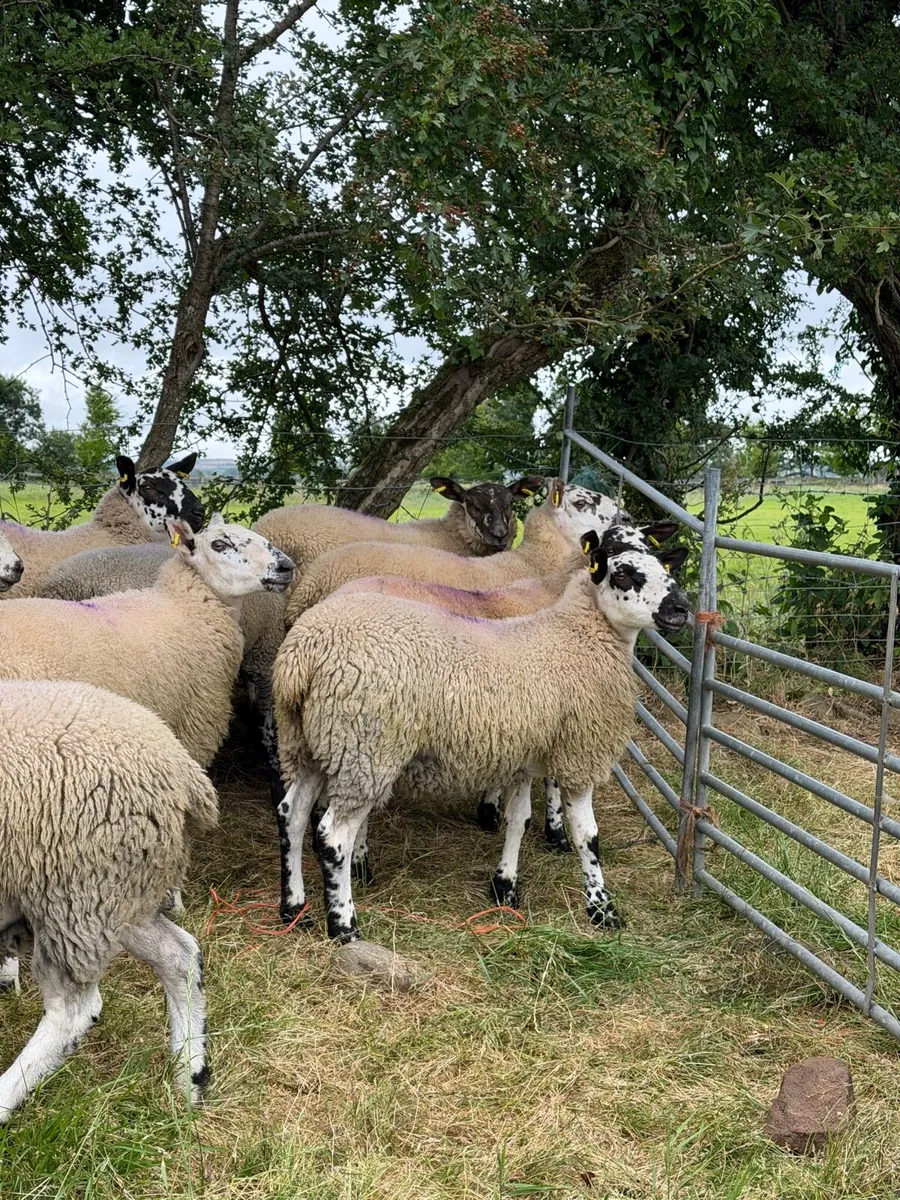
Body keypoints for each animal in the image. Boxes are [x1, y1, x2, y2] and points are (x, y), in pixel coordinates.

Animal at [0, 678, 217, 1121]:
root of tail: (182, 766)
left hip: (75, 895)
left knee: (74, 1010)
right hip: (118, 896)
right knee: (181, 955)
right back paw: (189, 1079)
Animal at [272, 522, 690, 940]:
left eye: (666, 570)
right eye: (624, 573)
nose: (681, 608)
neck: (578, 634)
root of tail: (303, 653)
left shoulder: (524, 755)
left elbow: (518, 819)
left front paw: (505, 886)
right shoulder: (578, 753)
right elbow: (588, 837)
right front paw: (602, 909)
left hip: (310, 744)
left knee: (291, 815)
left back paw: (294, 907)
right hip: (364, 747)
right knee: (332, 837)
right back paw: (344, 924)